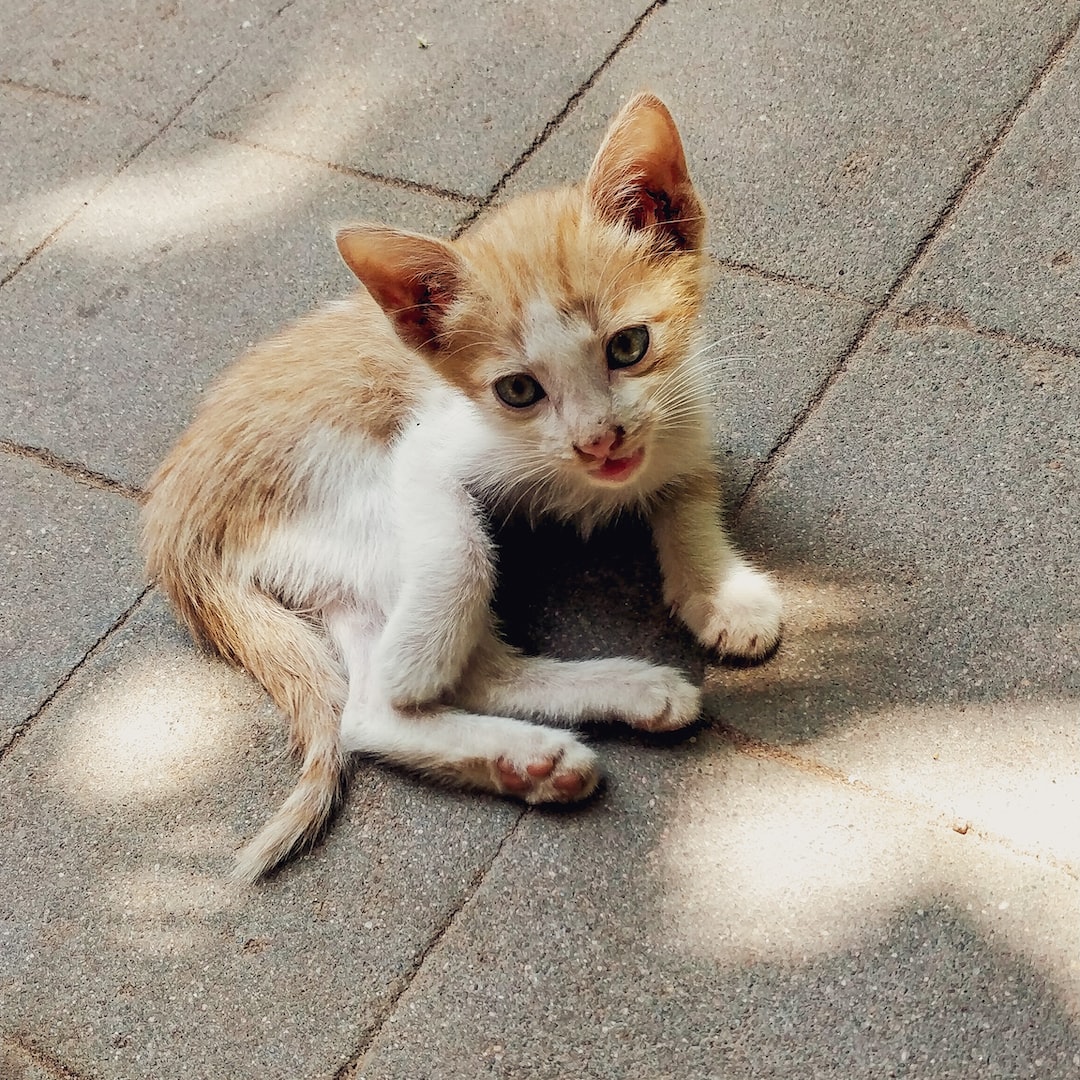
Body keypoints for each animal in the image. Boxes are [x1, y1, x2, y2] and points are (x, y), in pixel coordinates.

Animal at [140, 92, 783, 883]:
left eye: (629, 346)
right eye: (517, 391)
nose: (598, 441)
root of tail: (172, 518)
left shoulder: (683, 413)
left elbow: (688, 492)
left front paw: (723, 594)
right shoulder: (427, 450)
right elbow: (461, 545)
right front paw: (421, 661)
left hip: (334, 567)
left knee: (366, 714)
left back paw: (542, 748)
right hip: (357, 502)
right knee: (424, 678)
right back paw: (558, 710)